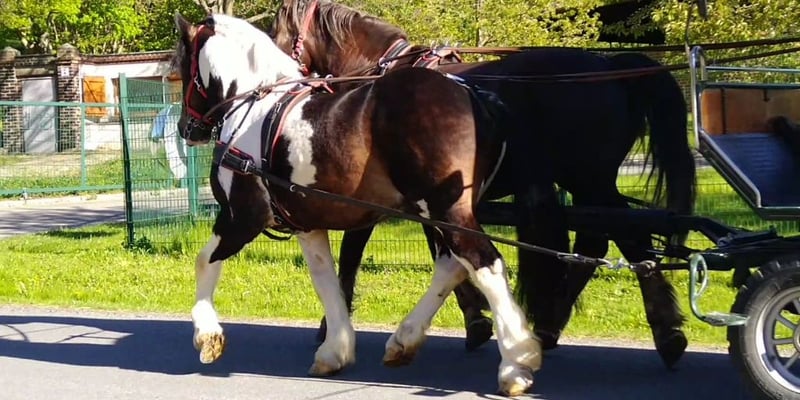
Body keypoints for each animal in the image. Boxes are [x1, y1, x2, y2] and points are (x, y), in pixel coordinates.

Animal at [172, 11, 542, 396]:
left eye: (182, 63)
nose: (186, 128)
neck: (256, 108)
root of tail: (474, 95)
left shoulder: (241, 217)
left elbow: (204, 261)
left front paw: (207, 335)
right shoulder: (307, 224)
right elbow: (325, 279)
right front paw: (334, 349)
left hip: (445, 210)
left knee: (484, 264)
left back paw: (516, 362)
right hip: (443, 213)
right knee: (453, 265)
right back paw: (405, 339)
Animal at [269, 0, 698, 368]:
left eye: (277, 31)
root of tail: (609, 64)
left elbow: (354, 256)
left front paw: (331, 325)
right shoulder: (432, 198)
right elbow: (443, 249)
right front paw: (476, 320)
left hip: (589, 179)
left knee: (625, 238)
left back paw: (659, 333)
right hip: (588, 182)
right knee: (604, 241)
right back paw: (561, 326)